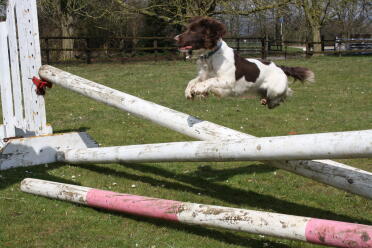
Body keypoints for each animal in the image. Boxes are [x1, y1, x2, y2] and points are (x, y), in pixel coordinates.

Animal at [174, 17, 314, 108]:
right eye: (188, 28)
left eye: (193, 30)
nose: (175, 39)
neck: (211, 56)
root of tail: (279, 66)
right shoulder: (203, 75)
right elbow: (193, 80)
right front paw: (189, 91)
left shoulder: (228, 80)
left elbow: (211, 81)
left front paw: (198, 89)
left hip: (275, 89)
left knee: (284, 94)